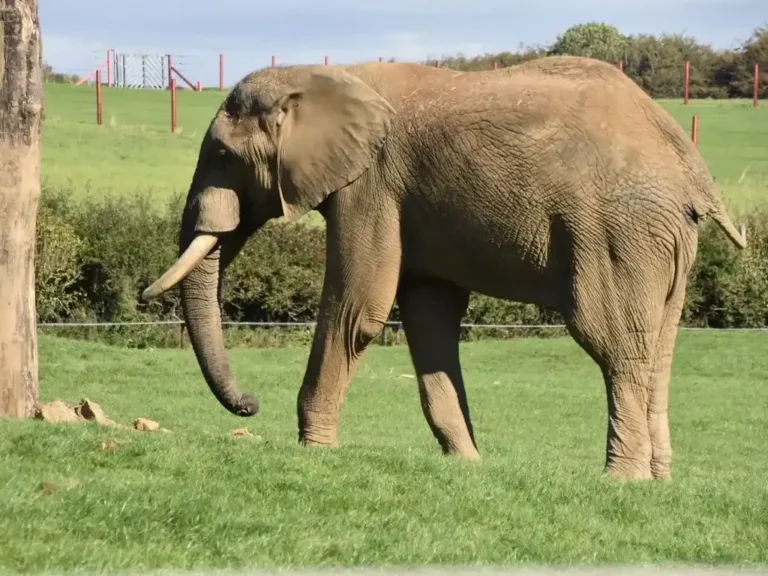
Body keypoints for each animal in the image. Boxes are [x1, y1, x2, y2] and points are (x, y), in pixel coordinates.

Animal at [142, 55, 746, 481]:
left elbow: (359, 308)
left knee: (612, 341)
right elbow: (429, 318)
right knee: (657, 350)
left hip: (616, 232)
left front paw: (314, 451)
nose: (249, 405)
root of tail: (690, 167)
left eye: (224, 155)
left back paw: (620, 482)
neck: (319, 74)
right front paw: (468, 465)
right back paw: (658, 483)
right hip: (662, 240)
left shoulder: (372, 185)